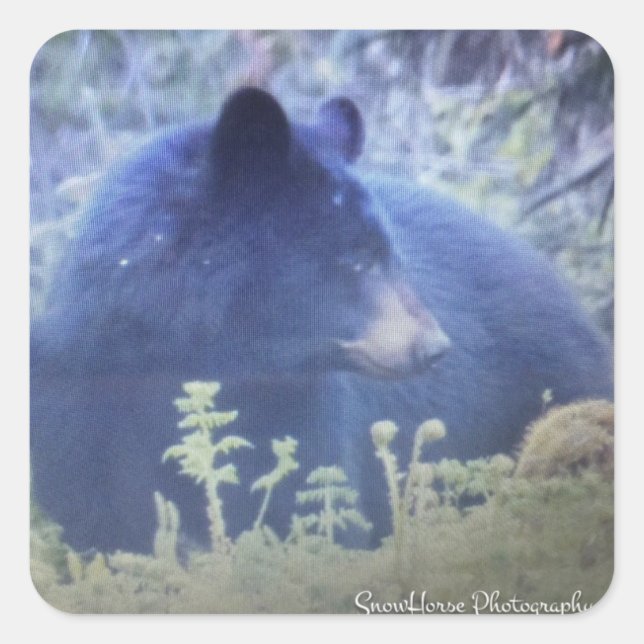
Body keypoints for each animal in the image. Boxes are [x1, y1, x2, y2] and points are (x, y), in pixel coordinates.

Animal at [30, 88, 613, 554]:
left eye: (391, 255)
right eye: (355, 258)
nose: (437, 347)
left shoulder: (305, 410)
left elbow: (309, 506)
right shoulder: (76, 401)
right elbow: (99, 519)